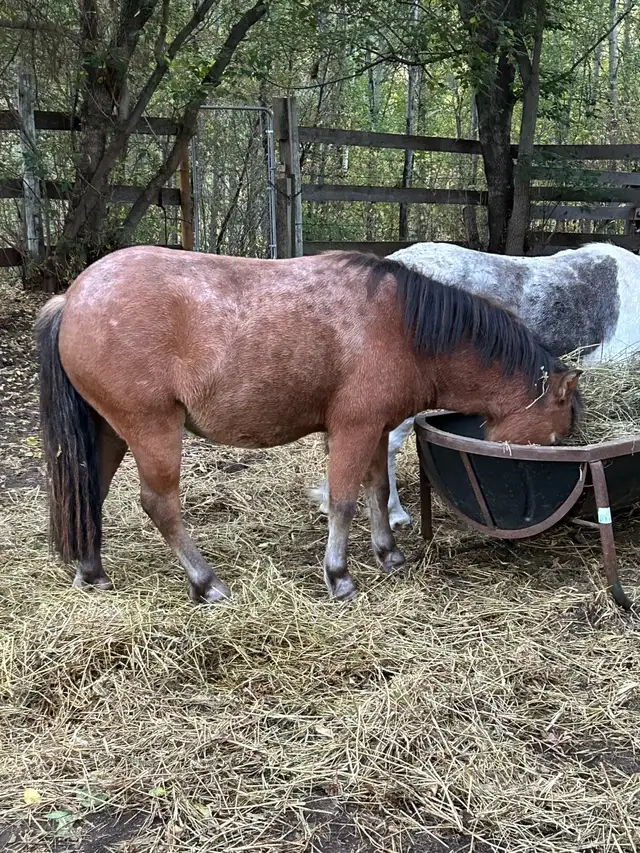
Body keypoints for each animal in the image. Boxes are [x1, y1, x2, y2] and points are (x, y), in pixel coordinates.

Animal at [36, 247, 581, 604]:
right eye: (558, 434)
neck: (405, 328)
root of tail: (72, 299)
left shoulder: (376, 430)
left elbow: (377, 490)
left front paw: (389, 554)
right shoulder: (353, 430)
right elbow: (343, 500)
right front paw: (339, 575)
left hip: (110, 432)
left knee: (90, 491)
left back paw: (92, 572)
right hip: (152, 431)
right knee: (160, 505)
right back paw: (206, 583)